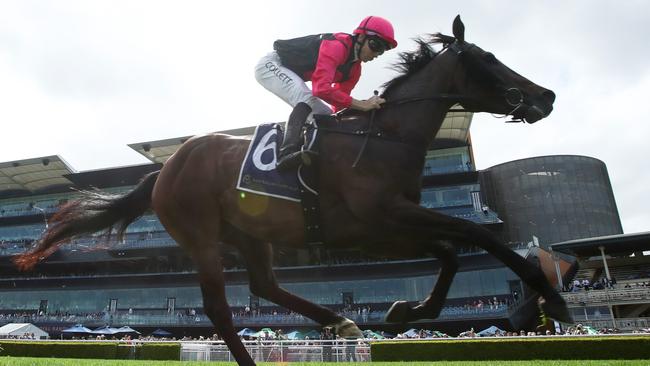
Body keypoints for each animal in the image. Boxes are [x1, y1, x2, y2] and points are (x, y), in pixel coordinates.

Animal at [15, 17, 568, 366]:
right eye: (488, 59)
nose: (547, 96)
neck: (384, 137)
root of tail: (166, 167)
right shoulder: (377, 222)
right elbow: (478, 238)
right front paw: (548, 301)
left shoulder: (381, 228)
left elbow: (451, 253)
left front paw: (405, 311)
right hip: (201, 236)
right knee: (219, 308)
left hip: (250, 233)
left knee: (264, 286)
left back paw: (341, 322)